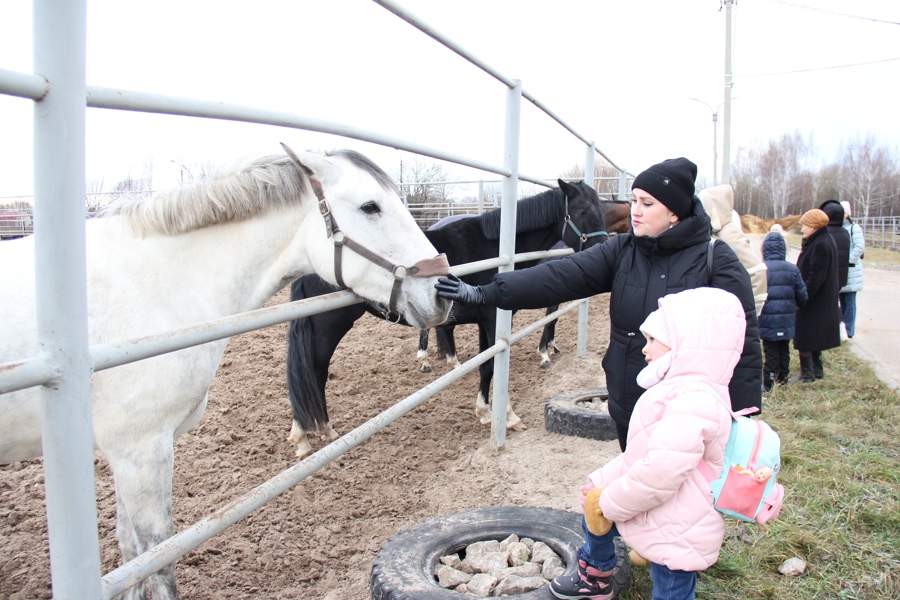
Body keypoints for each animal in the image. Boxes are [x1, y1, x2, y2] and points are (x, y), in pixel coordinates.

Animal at [0, 146, 450, 600]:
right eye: (370, 206)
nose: (441, 291)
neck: (158, 285)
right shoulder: (139, 450)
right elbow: (157, 560)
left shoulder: (123, 452)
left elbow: (130, 555)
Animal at [286, 180, 612, 458]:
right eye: (583, 211)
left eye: (602, 210)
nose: (602, 248)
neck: (498, 249)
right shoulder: (494, 320)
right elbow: (493, 366)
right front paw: (504, 415)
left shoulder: (485, 322)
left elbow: (485, 365)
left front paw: (486, 412)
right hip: (328, 328)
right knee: (314, 373)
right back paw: (309, 436)